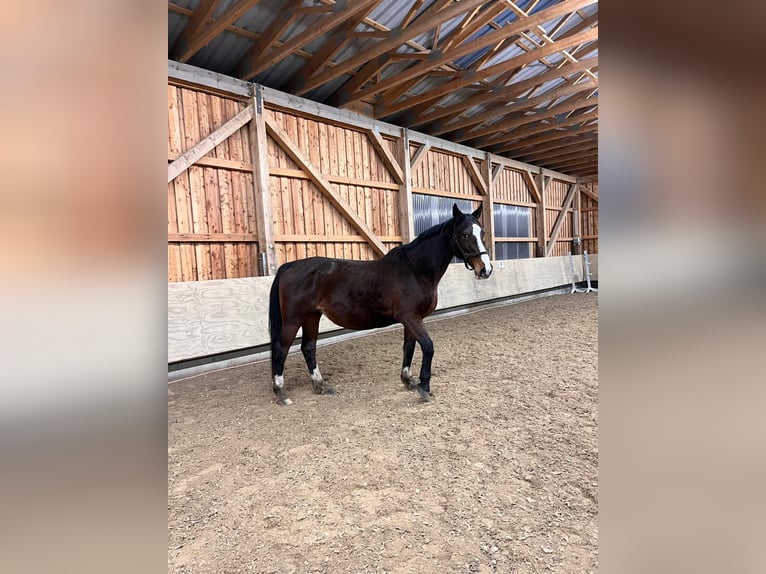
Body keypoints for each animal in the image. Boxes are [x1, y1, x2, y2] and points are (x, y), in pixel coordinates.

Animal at [268, 203, 492, 405]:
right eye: (465, 235)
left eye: (482, 233)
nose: (485, 269)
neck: (415, 269)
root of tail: (289, 266)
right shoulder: (410, 317)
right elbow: (428, 347)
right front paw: (424, 388)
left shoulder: (412, 319)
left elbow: (409, 347)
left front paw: (408, 381)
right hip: (293, 319)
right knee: (281, 348)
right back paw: (282, 393)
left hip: (312, 316)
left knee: (308, 347)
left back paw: (320, 385)